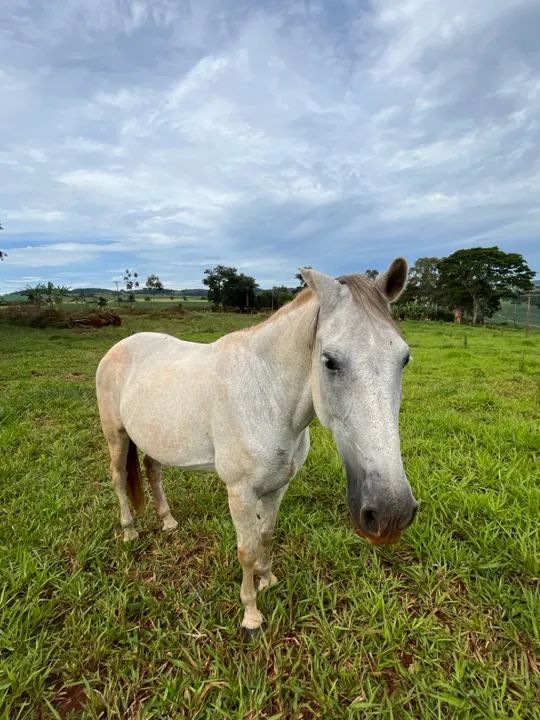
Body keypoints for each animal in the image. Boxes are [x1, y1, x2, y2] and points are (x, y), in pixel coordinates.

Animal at [96, 259, 418, 632]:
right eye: (329, 361)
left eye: (404, 358)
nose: (390, 513)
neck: (267, 395)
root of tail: (120, 345)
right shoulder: (239, 492)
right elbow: (246, 549)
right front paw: (251, 614)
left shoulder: (278, 486)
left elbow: (265, 535)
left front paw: (268, 579)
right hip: (117, 435)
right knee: (119, 478)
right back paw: (129, 531)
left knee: (153, 471)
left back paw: (168, 521)